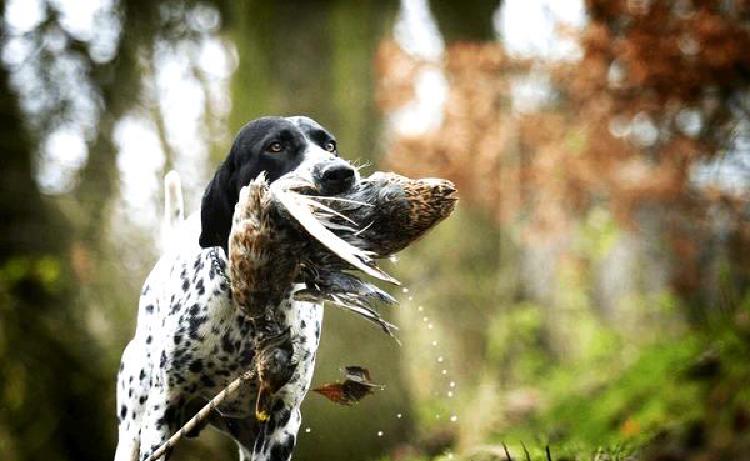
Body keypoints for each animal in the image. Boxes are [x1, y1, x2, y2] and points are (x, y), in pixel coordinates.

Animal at [116, 116, 360, 460]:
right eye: (275, 146)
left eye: (330, 145)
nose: (340, 173)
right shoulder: (162, 408)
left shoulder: (281, 421)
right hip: (133, 422)